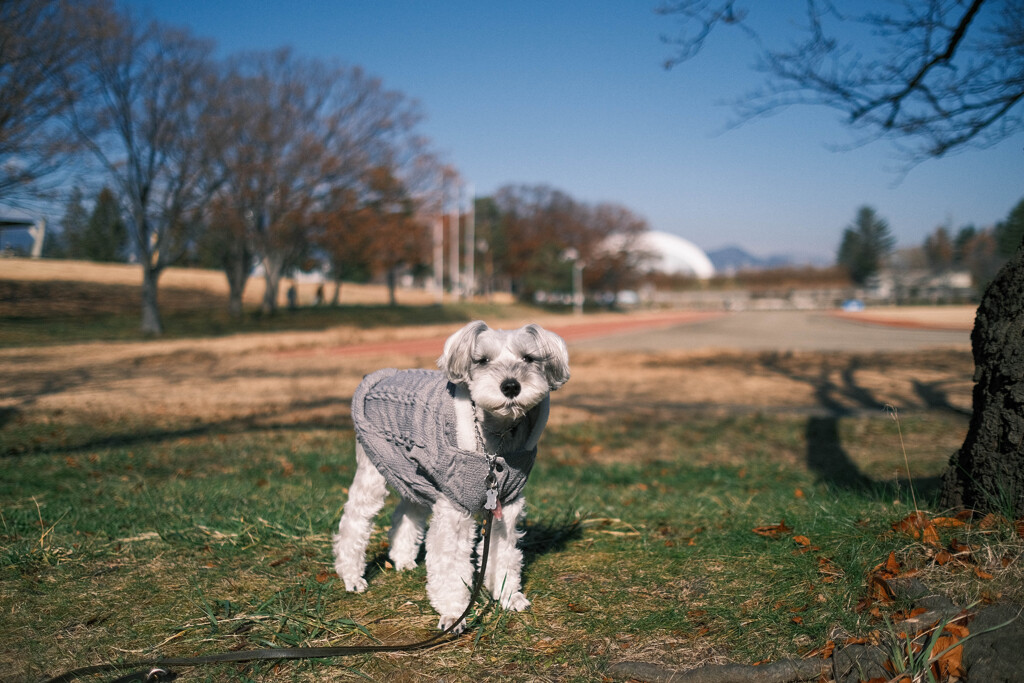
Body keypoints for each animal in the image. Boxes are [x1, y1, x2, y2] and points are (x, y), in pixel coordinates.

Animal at [333, 323, 569, 634]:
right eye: (482, 360)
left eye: (529, 358)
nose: (510, 386)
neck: (496, 440)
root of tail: (380, 376)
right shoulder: (455, 510)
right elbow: (450, 565)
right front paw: (454, 613)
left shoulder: (505, 506)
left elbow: (503, 554)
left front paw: (508, 595)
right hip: (373, 472)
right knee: (354, 520)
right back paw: (351, 576)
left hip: (417, 475)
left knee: (406, 512)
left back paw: (403, 559)